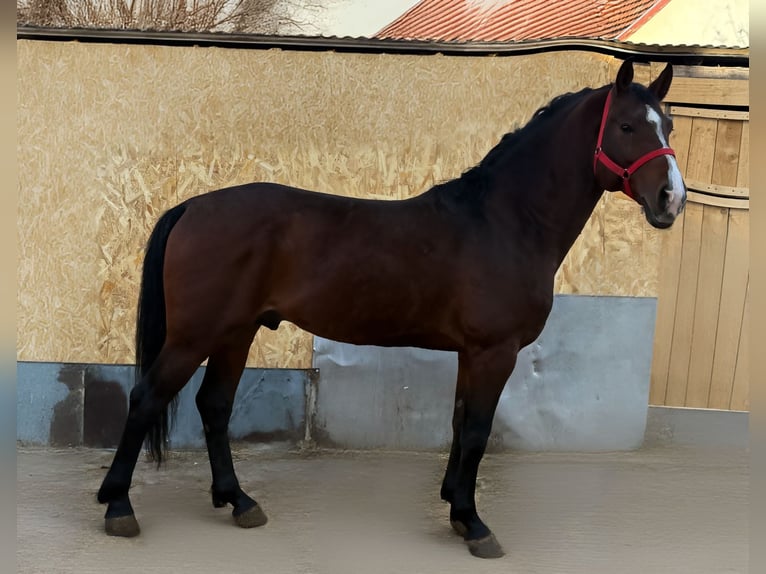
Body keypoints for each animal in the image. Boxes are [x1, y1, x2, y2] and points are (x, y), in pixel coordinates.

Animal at [97, 59, 685, 559]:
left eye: (670, 127)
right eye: (628, 127)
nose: (671, 200)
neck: (504, 222)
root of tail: (193, 205)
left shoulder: (472, 354)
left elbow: (460, 424)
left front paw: (455, 508)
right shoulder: (494, 352)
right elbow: (477, 431)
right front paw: (475, 525)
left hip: (235, 334)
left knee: (214, 406)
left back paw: (238, 501)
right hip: (194, 335)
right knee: (147, 397)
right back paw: (119, 506)